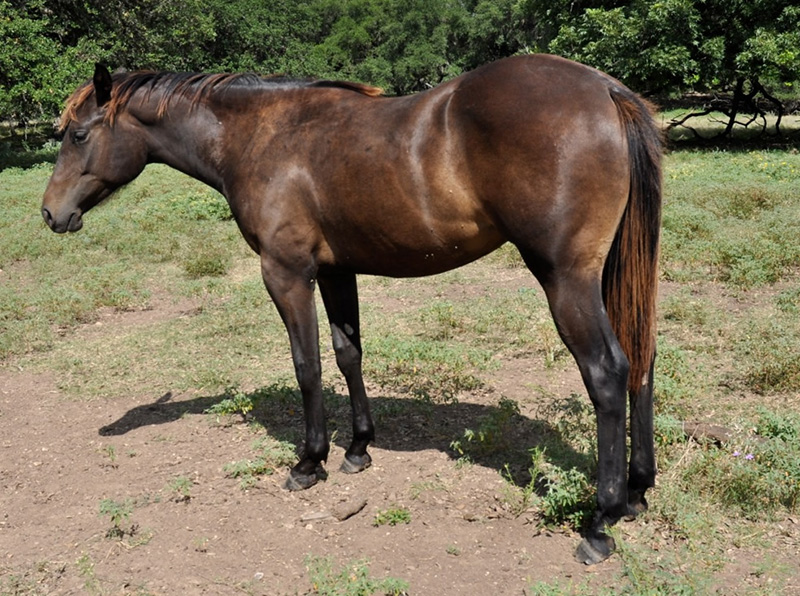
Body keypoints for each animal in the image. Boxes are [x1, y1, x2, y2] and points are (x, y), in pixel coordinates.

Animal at [40, 56, 660, 564]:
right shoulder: (338, 271)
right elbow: (347, 354)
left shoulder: (287, 273)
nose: (50, 214)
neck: (261, 137)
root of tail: (604, 89)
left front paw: (309, 462)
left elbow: (307, 365)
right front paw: (358, 448)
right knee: (642, 361)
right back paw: (636, 491)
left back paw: (600, 520)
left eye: (78, 134)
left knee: (608, 373)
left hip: (565, 280)